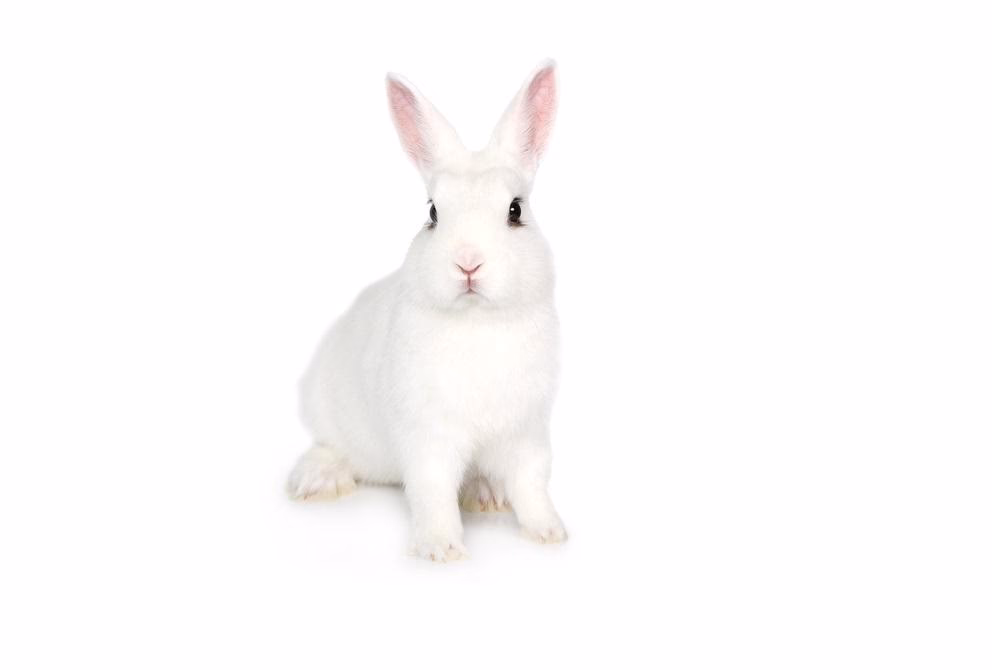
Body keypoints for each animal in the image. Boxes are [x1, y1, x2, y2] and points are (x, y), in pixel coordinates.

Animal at [287, 60, 566, 561]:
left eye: (516, 210)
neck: (478, 322)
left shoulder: (526, 433)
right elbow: (432, 490)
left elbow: (532, 483)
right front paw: (441, 549)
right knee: (330, 446)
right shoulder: (428, 437)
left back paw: (486, 494)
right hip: (325, 408)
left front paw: (549, 532)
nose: (468, 262)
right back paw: (318, 480)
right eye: (433, 213)